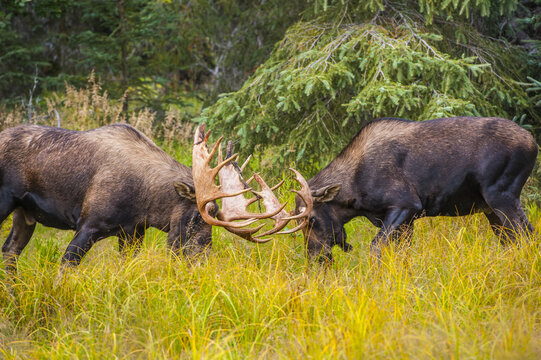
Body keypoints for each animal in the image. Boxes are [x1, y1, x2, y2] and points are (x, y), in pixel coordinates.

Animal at [294, 118, 536, 262]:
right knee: (512, 240)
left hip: (502, 195)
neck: (355, 196)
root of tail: (534, 143)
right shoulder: (405, 222)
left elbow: (376, 246)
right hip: (489, 209)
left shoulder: (407, 205)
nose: (315, 258)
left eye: (312, 219)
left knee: (526, 234)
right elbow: (402, 253)